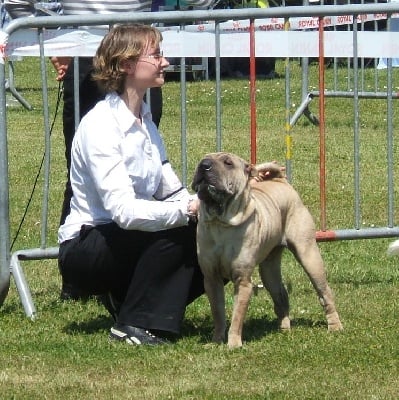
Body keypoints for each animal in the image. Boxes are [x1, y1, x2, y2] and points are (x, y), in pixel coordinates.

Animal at [192, 152, 342, 348]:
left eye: (228, 163)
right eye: (203, 159)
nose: (204, 165)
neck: (220, 222)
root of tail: (282, 182)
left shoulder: (243, 281)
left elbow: (237, 317)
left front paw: (233, 344)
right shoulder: (211, 279)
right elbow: (218, 313)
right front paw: (216, 341)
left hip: (308, 254)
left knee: (324, 292)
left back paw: (335, 326)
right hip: (269, 269)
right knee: (280, 294)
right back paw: (284, 328)